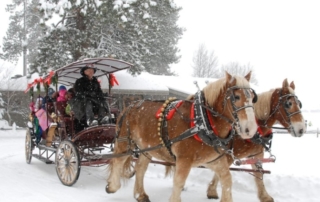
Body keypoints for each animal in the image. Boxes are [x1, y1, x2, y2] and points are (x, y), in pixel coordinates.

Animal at [107, 72, 258, 202]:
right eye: (236, 97)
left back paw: (141, 195)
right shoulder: (184, 159)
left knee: (140, 168)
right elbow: (179, 182)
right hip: (125, 141)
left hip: (147, 148)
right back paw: (112, 186)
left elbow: (227, 179)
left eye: (252, 97)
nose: (250, 129)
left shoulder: (212, 160)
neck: (202, 121)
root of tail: (130, 105)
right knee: (118, 160)